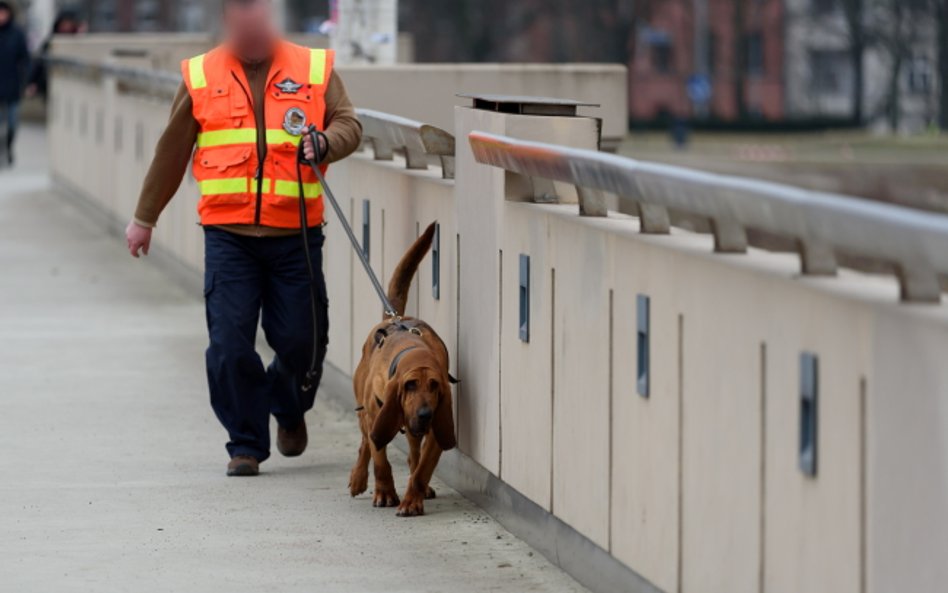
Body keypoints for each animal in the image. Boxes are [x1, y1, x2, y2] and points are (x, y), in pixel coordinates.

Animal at [350, 221, 458, 512]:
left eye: (434, 386)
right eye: (409, 385)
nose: (425, 414)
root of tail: (393, 317)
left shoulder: (436, 430)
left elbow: (422, 469)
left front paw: (412, 500)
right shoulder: (377, 416)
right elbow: (380, 460)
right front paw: (385, 492)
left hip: (411, 428)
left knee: (412, 455)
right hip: (367, 413)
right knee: (365, 443)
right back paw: (358, 478)